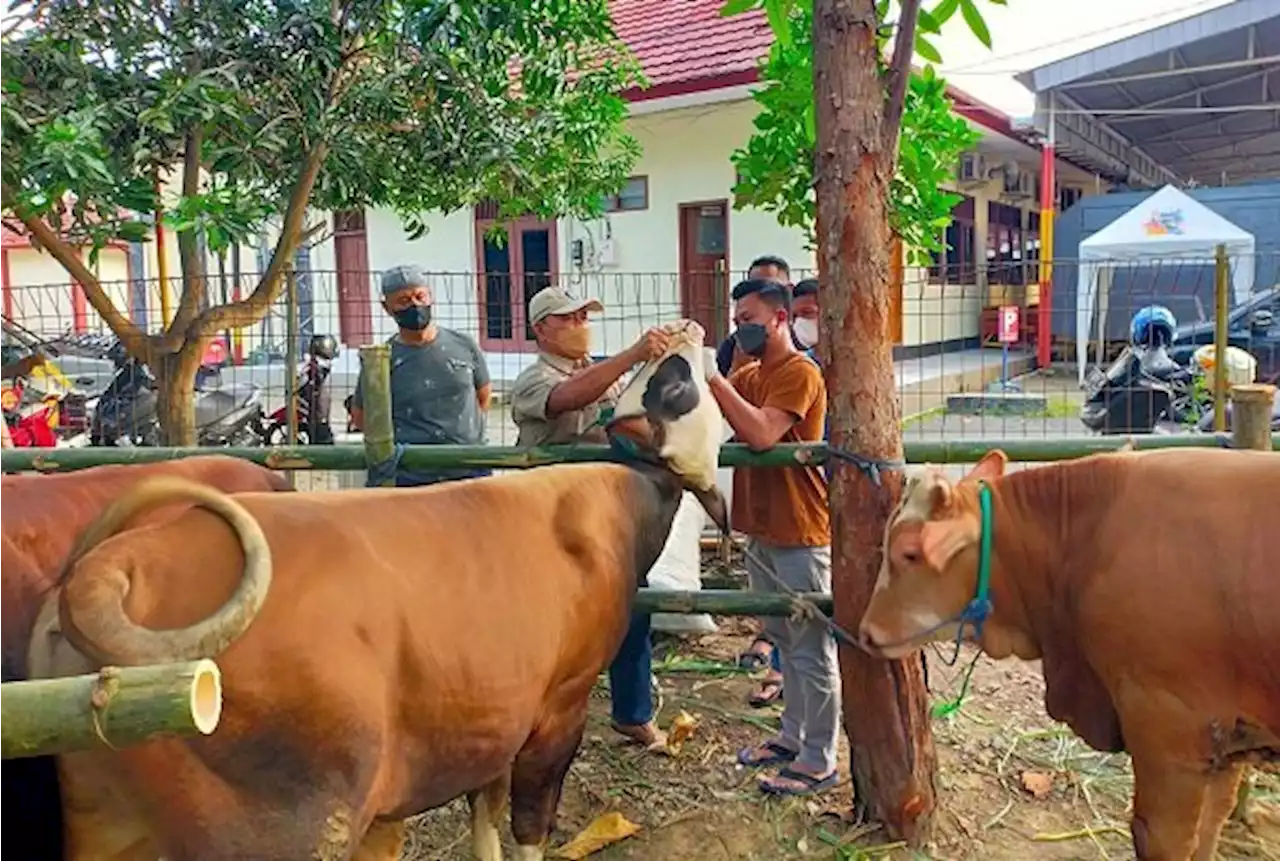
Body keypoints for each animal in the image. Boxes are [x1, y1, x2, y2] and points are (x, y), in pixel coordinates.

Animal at [855, 447, 1280, 859]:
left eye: (910, 553)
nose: (866, 631)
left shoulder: (1169, 733)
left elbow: (1163, 839)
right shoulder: (1229, 743)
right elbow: (1211, 828)